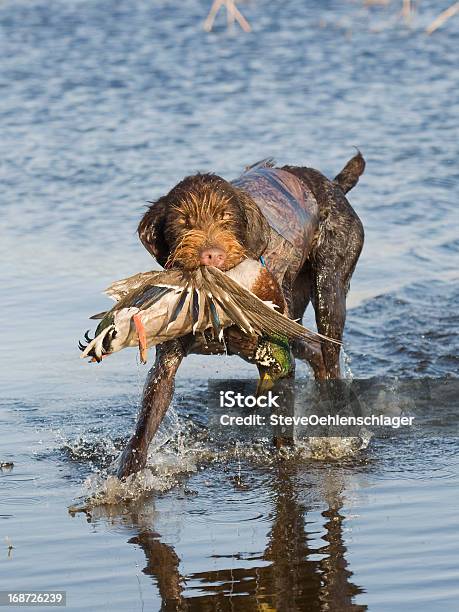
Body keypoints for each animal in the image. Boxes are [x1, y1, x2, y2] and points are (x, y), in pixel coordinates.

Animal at [118, 153, 366, 478]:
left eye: (226, 216)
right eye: (183, 221)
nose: (211, 255)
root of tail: (332, 185)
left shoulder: (278, 357)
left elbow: (283, 421)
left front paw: (286, 457)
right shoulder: (166, 365)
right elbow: (147, 420)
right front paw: (125, 477)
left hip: (330, 288)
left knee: (329, 351)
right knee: (313, 350)